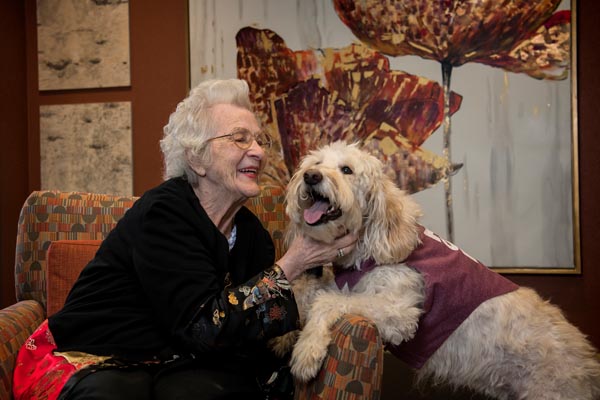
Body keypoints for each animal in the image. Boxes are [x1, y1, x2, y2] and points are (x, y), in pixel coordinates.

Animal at [282, 141, 600, 400]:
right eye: (315, 163)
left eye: (346, 169)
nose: (311, 176)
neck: (367, 246)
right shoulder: (342, 285)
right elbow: (305, 291)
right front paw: (284, 336)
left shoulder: (397, 311)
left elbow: (327, 301)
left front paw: (306, 350)